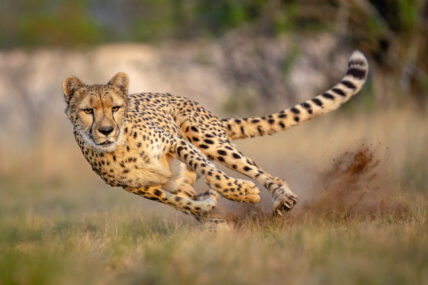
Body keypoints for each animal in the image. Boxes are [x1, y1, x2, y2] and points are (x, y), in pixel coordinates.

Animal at [62, 50, 368, 221]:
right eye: (88, 110)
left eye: (115, 108)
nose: (106, 130)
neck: (119, 147)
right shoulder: (138, 187)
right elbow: (178, 201)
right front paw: (207, 207)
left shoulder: (177, 142)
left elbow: (214, 174)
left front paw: (241, 192)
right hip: (182, 172)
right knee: (187, 191)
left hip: (206, 137)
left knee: (261, 174)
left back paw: (282, 198)